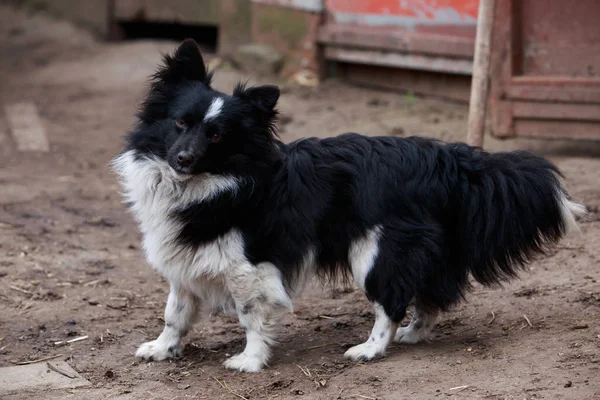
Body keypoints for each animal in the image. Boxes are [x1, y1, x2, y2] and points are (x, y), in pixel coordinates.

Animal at [112, 39, 580, 372]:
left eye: (216, 136)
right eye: (179, 123)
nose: (182, 159)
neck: (205, 184)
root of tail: (445, 158)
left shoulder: (252, 267)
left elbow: (251, 316)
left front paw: (250, 360)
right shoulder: (186, 261)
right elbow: (174, 312)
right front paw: (162, 348)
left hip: (375, 251)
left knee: (391, 302)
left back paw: (371, 349)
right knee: (429, 296)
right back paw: (413, 335)